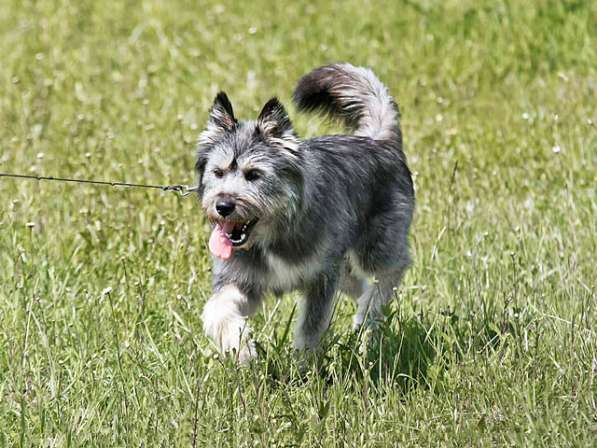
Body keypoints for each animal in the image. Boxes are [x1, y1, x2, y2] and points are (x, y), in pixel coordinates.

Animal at [196, 63, 414, 362]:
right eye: (218, 172)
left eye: (254, 174)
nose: (223, 207)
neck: (274, 235)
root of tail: (379, 141)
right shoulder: (242, 281)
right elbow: (217, 310)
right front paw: (241, 350)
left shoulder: (321, 277)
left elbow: (311, 327)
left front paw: (304, 366)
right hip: (342, 266)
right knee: (361, 285)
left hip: (374, 247)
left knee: (393, 269)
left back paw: (368, 314)